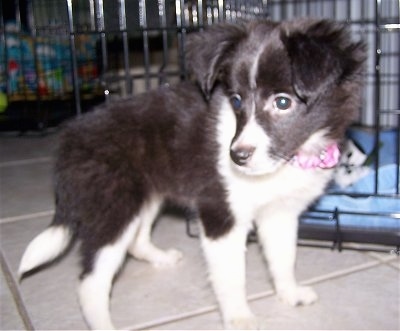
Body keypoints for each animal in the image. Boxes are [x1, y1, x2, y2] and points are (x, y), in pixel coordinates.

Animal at [18, 19, 364, 330]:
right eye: (236, 99)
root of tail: (68, 141)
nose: (236, 157)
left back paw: (160, 258)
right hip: (113, 206)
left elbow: (284, 257)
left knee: (135, 241)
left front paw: (290, 294)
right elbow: (231, 276)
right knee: (91, 282)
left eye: (282, 102)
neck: (289, 160)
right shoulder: (221, 213)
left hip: (144, 195)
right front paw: (239, 318)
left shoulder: (280, 213)